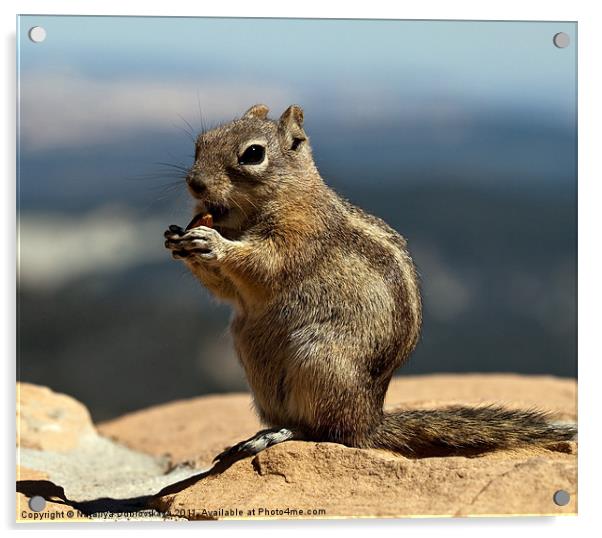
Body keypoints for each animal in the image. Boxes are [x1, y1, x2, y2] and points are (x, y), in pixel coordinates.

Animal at [162, 103, 576, 456]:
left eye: (252, 154)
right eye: (200, 144)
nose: (195, 184)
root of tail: (370, 420)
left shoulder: (300, 236)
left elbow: (263, 264)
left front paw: (212, 243)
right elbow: (228, 290)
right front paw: (175, 240)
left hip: (321, 361)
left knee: (327, 432)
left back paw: (281, 434)